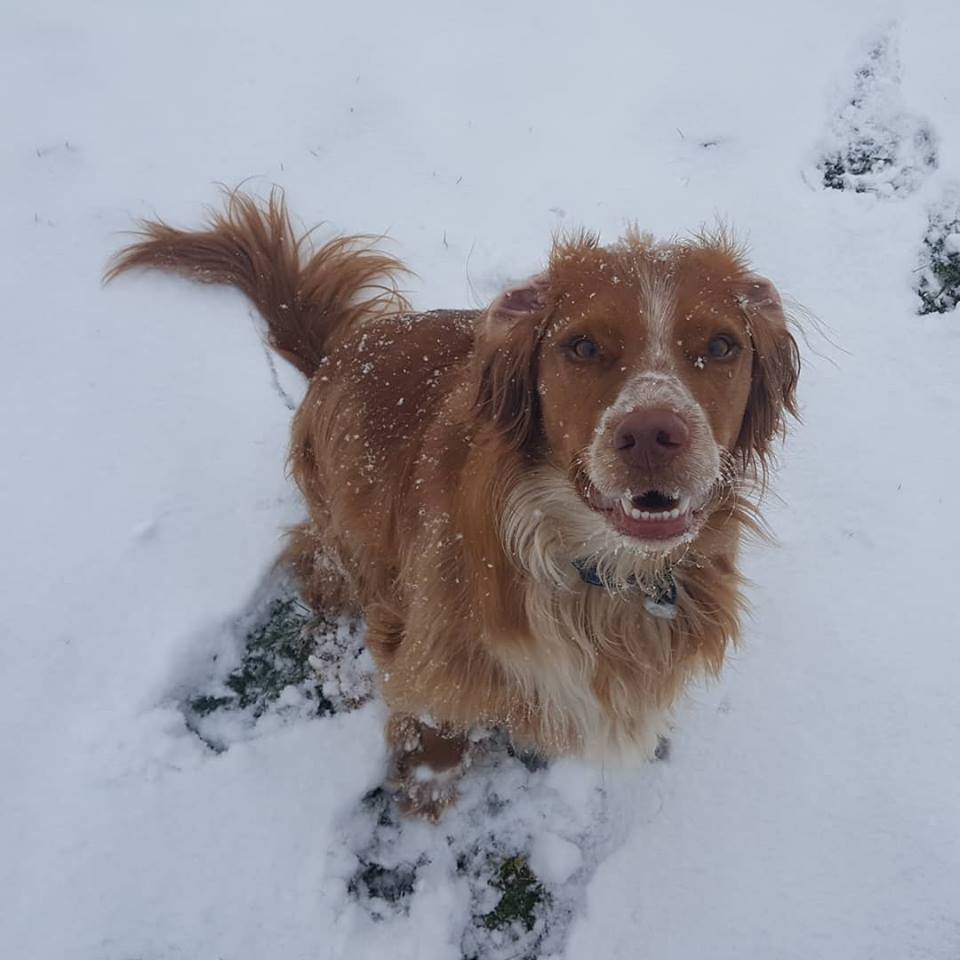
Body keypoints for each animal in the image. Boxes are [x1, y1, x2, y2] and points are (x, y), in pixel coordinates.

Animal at [109, 193, 800, 816]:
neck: (599, 574)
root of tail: (340, 348)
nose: (654, 433)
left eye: (721, 345)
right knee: (321, 571)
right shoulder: (440, 659)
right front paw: (426, 795)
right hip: (349, 528)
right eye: (581, 347)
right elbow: (436, 732)